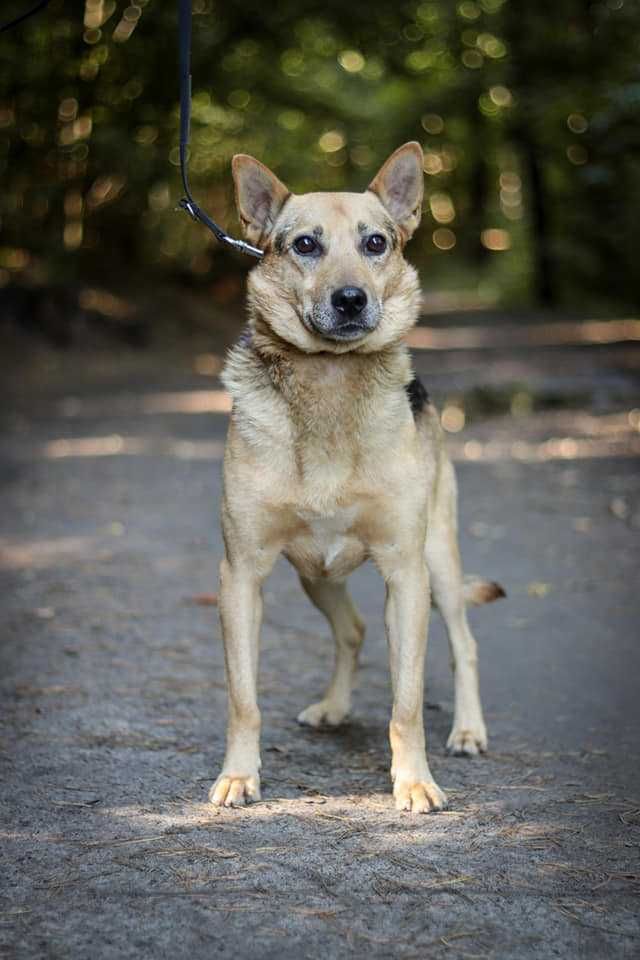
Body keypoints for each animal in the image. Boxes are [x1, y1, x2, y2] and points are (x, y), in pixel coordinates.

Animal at [210, 142, 504, 812]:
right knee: (352, 630)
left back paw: (468, 730)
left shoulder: (405, 573)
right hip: (315, 575)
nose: (350, 299)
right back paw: (334, 706)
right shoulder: (241, 577)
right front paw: (239, 774)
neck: (329, 381)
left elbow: (406, 703)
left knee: (466, 644)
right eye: (304, 245)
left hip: (438, 562)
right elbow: (243, 700)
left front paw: (414, 781)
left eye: (375, 243)